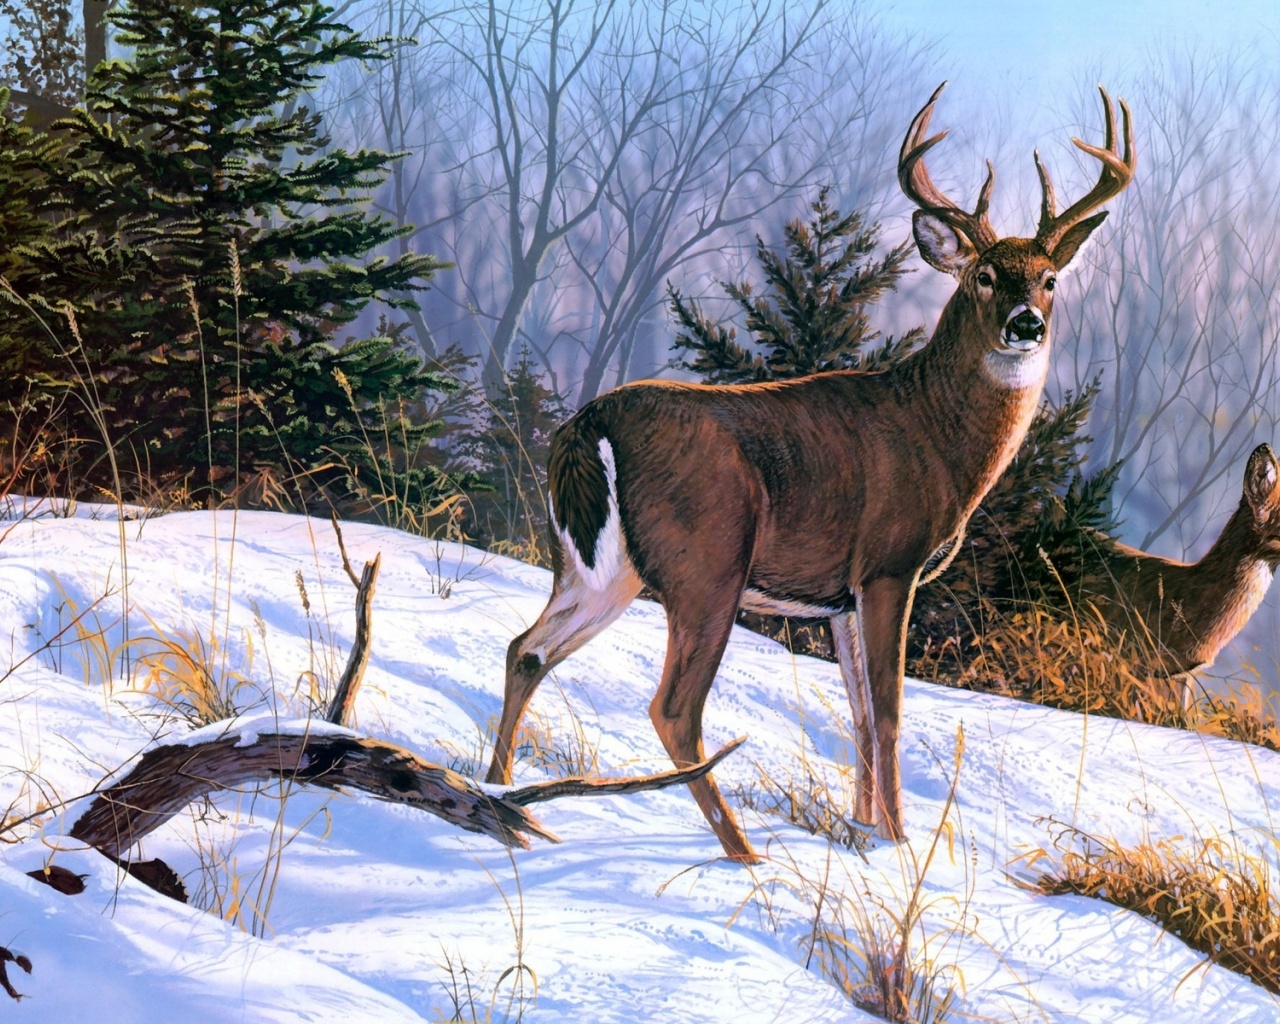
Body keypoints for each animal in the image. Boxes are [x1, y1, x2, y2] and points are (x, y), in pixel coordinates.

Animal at [484, 83, 1136, 862]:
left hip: (601, 568)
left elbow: (858, 716)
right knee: (673, 709)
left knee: (525, 649)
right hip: (707, 563)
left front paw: (866, 832)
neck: (938, 437)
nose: (1026, 325)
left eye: (1049, 279)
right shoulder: (888, 565)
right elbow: (888, 711)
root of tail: (589, 424)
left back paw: (500, 795)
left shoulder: (840, 599)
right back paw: (741, 853)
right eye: (983, 276)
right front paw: (898, 846)